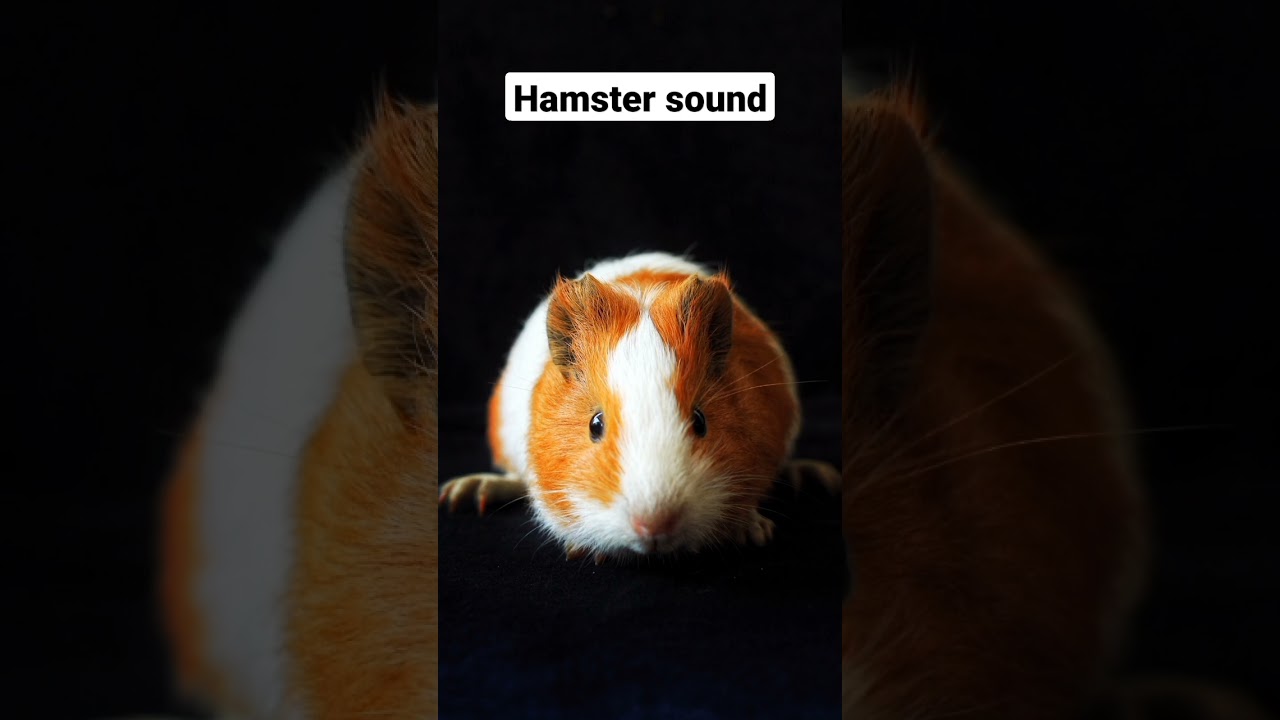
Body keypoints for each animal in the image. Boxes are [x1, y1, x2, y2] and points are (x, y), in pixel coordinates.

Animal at [441, 252, 835, 561]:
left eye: (700, 421)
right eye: (595, 424)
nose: (655, 524)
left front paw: (755, 532)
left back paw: (815, 476)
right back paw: (468, 492)